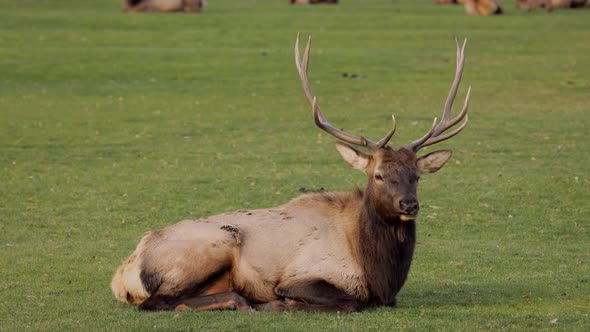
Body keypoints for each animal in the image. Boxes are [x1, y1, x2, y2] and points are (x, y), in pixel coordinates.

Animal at [110, 33, 472, 312]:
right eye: (378, 175)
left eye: (417, 176)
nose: (409, 205)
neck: (381, 274)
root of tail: (123, 274)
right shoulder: (300, 275)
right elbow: (350, 301)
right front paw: (283, 303)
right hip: (216, 244)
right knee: (159, 302)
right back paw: (241, 301)